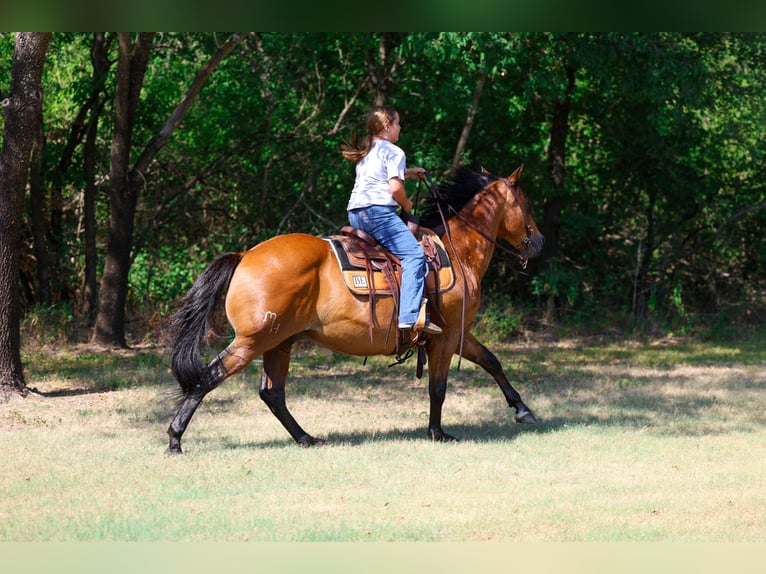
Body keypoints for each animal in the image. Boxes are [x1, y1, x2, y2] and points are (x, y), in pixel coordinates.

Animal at [165, 165, 544, 453]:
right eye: (526, 203)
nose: (539, 242)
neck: (458, 250)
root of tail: (245, 256)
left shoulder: (458, 332)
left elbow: (491, 361)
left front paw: (522, 409)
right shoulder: (446, 336)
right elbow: (438, 387)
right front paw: (438, 433)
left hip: (279, 343)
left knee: (272, 394)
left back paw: (306, 438)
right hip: (252, 341)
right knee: (209, 378)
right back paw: (174, 439)